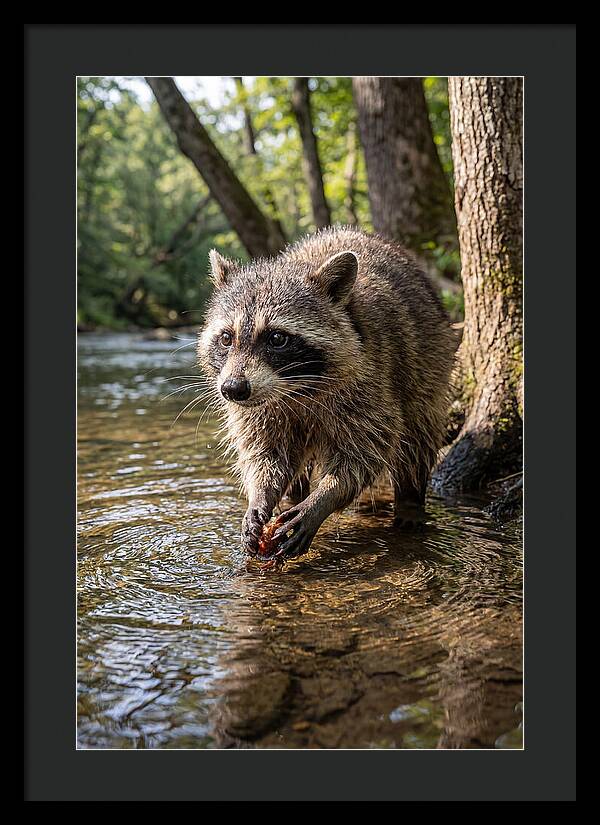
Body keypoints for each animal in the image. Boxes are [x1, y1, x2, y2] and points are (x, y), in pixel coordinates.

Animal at [198, 227, 455, 559]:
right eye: (227, 338)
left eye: (277, 338)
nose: (232, 390)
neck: (295, 388)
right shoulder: (259, 408)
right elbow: (265, 453)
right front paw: (260, 495)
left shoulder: (370, 381)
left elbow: (366, 451)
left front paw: (324, 498)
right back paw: (293, 496)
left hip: (429, 363)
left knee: (417, 439)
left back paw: (410, 501)